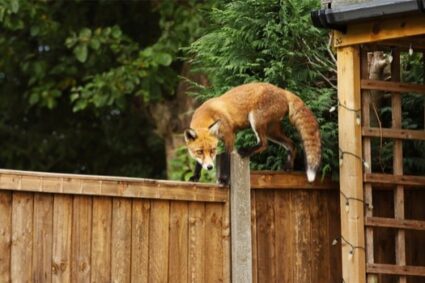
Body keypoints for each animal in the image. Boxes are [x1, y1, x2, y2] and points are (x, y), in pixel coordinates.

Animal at [184, 82, 320, 184]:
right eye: (200, 151)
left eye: (213, 150)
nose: (210, 167)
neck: (208, 114)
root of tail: (282, 90)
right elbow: (198, 163)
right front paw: (195, 177)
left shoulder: (229, 136)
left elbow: (228, 158)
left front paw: (224, 179)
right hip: (272, 132)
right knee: (291, 144)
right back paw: (288, 167)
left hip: (256, 120)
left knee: (264, 144)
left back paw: (245, 151)